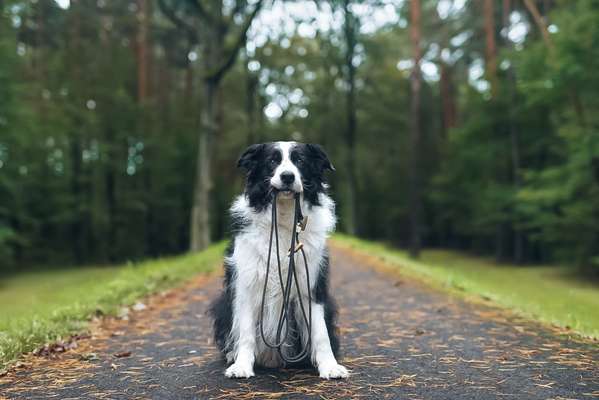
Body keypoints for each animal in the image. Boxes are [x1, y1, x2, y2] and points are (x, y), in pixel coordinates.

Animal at [212, 142, 350, 380]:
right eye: (272, 161)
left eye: (300, 161)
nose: (287, 176)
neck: (284, 216)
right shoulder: (247, 284)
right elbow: (246, 331)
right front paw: (242, 366)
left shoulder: (311, 285)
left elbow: (320, 331)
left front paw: (330, 366)